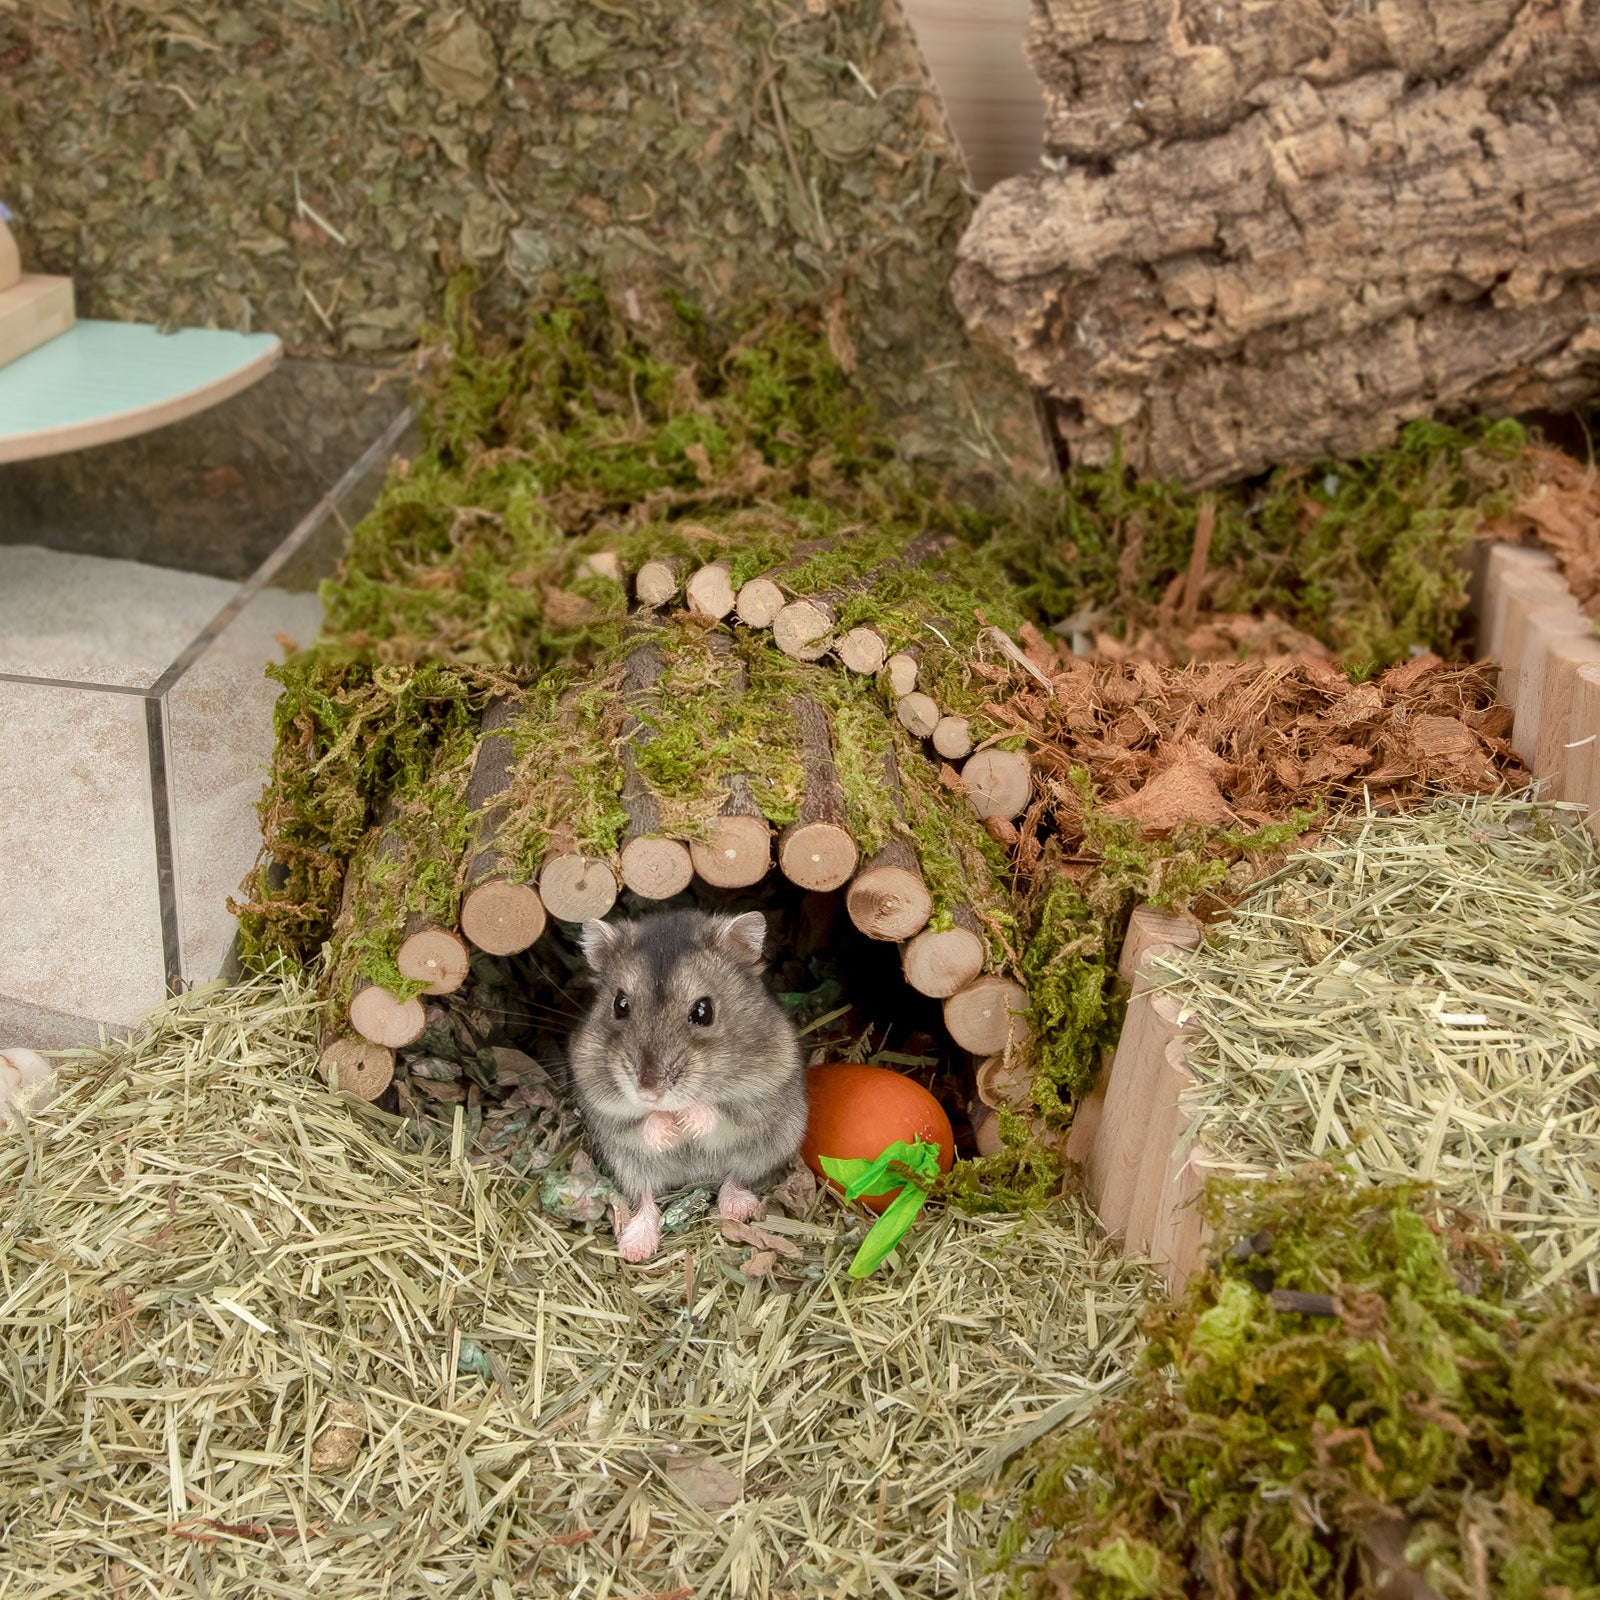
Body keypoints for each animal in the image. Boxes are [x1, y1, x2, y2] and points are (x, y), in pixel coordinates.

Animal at [568, 908, 807, 1263]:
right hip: (629, 1165)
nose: (649, 1093)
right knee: (644, 1197)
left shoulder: (763, 1090)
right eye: (619, 1005)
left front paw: (688, 1124)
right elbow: (639, 1120)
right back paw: (635, 1248)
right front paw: (668, 1131)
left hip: (770, 1147)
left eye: (704, 1011)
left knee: (735, 1175)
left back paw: (738, 1209)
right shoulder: (600, 1100)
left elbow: (719, 1109)